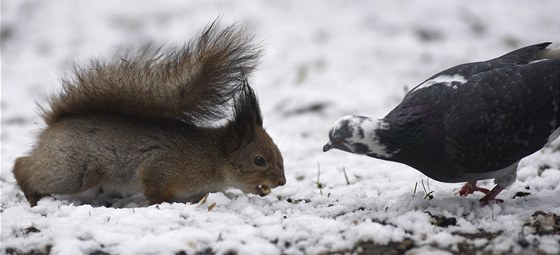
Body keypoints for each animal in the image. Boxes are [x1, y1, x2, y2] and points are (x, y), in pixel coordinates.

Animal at [12, 22, 286, 207]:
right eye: (259, 160)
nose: (281, 182)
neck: (213, 157)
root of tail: (54, 124)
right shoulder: (161, 168)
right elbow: (155, 189)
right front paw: (162, 204)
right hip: (73, 171)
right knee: (22, 166)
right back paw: (33, 196)